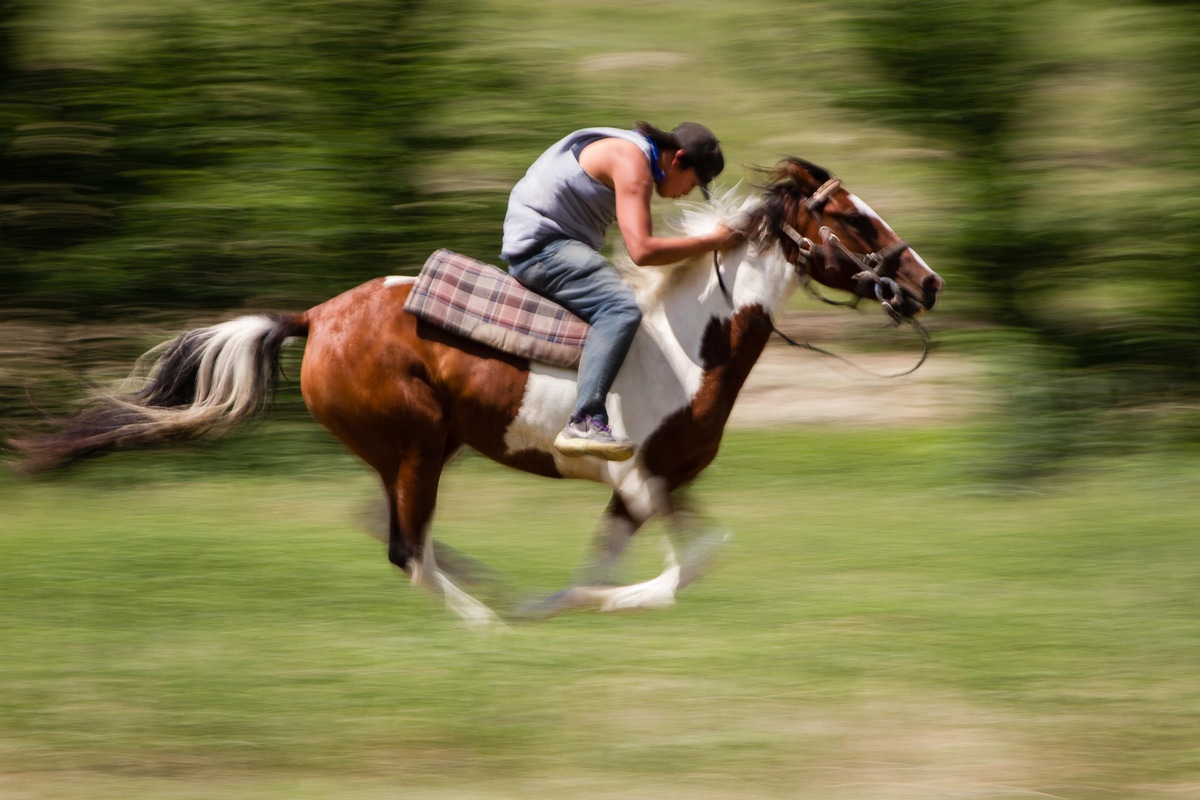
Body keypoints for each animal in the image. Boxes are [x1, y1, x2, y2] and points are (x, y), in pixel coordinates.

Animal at [14, 158, 940, 623]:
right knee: (405, 548)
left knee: (386, 526)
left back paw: (495, 596)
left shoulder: (654, 484)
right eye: (854, 218)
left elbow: (673, 555)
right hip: (418, 446)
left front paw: (561, 598)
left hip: (414, 450)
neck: (685, 344)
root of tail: (315, 315)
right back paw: (486, 623)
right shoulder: (641, 479)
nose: (925, 284)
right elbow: (683, 568)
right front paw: (576, 603)